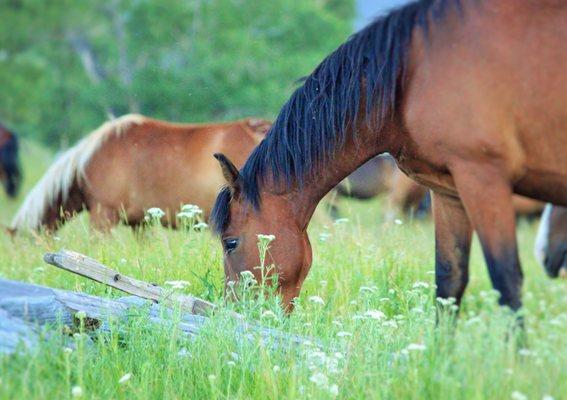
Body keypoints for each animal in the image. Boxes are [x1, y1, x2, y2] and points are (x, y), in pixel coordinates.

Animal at [211, 0, 567, 310]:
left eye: (230, 242)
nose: (235, 312)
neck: (410, 74)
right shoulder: (449, 191)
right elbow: (449, 281)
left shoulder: (484, 180)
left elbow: (507, 281)